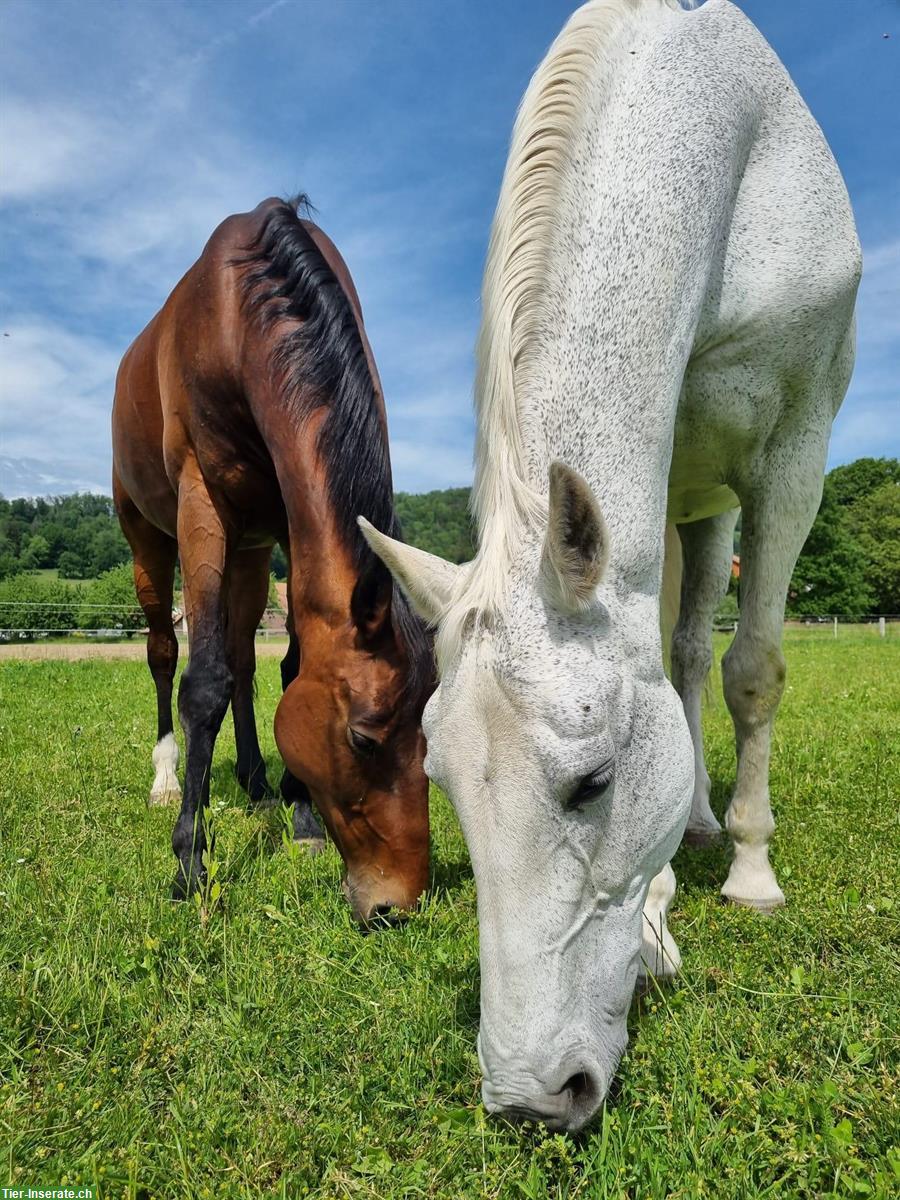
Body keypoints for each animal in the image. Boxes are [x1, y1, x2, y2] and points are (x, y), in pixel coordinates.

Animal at [109, 196, 434, 916]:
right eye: (363, 737)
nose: (397, 904)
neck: (238, 314)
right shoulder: (200, 503)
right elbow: (203, 684)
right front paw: (190, 862)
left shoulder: (284, 524)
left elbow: (283, 668)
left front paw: (301, 818)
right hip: (148, 540)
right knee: (164, 655)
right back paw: (166, 778)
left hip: (251, 555)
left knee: (239, 654)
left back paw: (257, 783)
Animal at [362, 0, 864, 1123]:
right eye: (441, 782)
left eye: (592, 783)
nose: (530, 1095)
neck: (735, 144)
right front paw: (659, 916)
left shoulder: (793, 455)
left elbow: (756, 670)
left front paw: (751, 876)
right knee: (679, 654)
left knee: (705, 657)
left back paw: (722, 835)